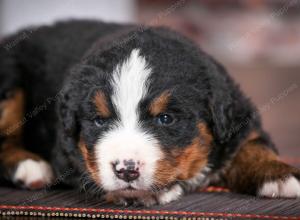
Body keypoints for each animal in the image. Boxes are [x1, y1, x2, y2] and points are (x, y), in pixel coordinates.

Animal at [0, 19, 300, 205]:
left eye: (165, 119)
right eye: (99, 121)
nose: (126, 171)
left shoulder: (240, 121)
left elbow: (253, 146)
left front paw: (279, 175)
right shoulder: (67, 152)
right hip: (10, 77)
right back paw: (30, 167)